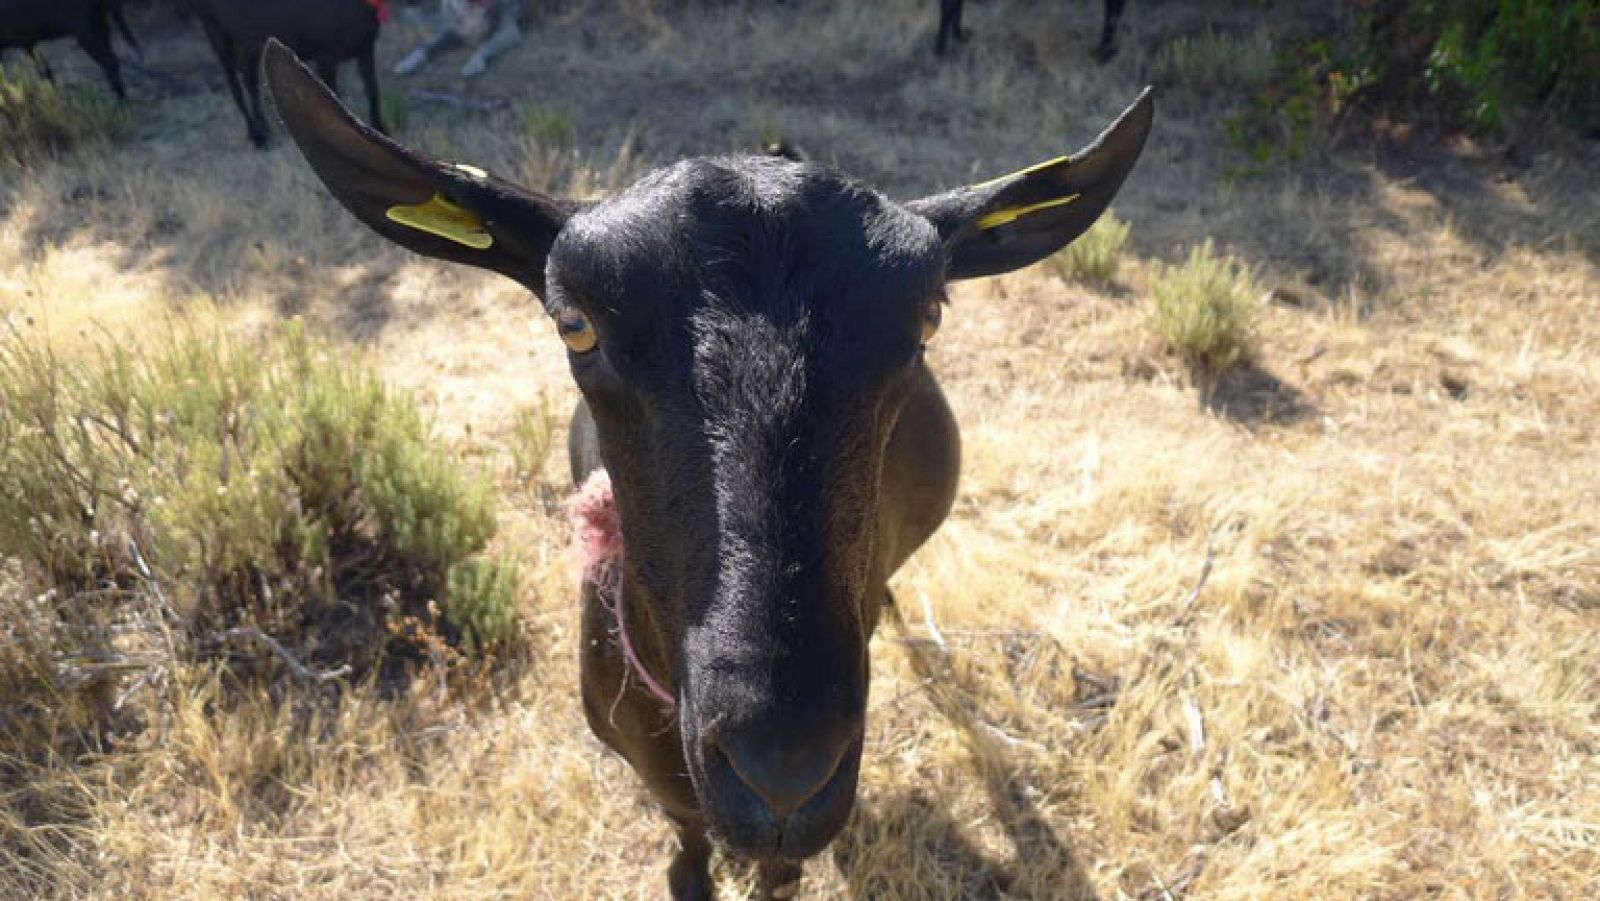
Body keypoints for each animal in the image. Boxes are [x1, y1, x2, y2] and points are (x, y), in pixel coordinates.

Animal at [0, 0, 140, 98]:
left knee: (110, 64)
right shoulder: (28, 44)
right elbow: (47, 72)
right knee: (113, 63)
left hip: (87, 32)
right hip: (101, 26)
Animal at [187, 0, 387, 148]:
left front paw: (381, 130)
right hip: (217, 33)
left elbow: (372, 90)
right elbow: (335, 99)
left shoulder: (365, 48)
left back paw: (264, 130)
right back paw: (256, 136)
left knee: (250, 80)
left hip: (248, 42)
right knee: (234, 85)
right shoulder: (326, 57)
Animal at [392, 0, 522, 79]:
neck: (471, 8)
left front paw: (474, 64)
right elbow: (425, 46)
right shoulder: (450, 32)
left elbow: (486, 45)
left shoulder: (508, 31)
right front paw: (407, 62)